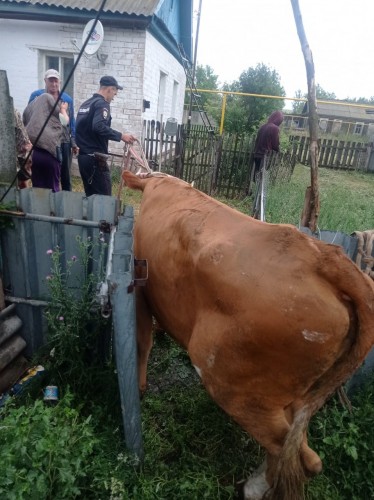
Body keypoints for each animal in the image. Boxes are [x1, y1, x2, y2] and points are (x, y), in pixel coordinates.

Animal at [122, 170, 374, 498]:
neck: (159, 183)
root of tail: (325, 257)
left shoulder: (141, 286)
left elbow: (142, 340)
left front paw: (140, 387)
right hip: (296, 395)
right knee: (298, 449)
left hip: (231, 383)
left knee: (299, 457)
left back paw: (255, 489)